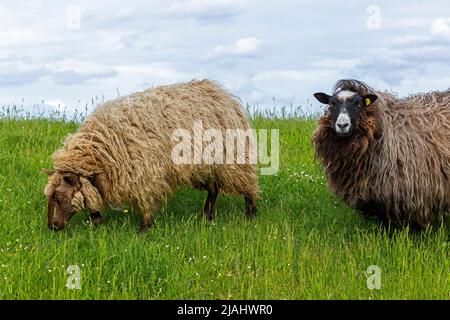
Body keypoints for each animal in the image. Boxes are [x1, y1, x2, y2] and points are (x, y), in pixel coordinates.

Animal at [44, 79, 260, 230]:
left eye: (60, 197)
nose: (52, 227)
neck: (101, 150)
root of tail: (222, 94)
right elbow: (94, 193)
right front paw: (96, 219)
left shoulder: (145, 174)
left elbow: (146, 201)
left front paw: (144, 229)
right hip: (205, 166)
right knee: (214, 189)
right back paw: (208, 216)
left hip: (233, 159)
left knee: (246, 185)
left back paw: (251, 215)